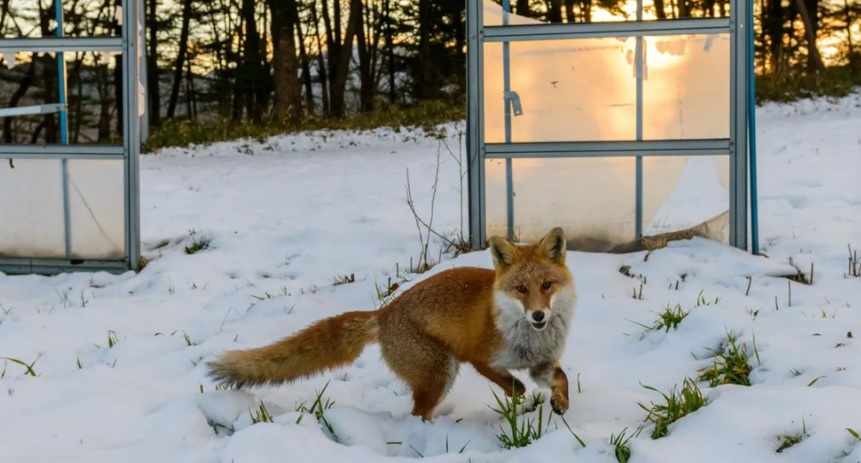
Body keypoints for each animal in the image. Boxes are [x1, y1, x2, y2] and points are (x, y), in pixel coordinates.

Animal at [205, 227, 576, 422]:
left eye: (547, 286)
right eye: (521, 289)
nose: (538, 316)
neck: (528, 339)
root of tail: (384, 313)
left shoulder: (542, 362)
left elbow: (562, 378)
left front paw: (561, 403)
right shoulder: (477, 356)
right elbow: (516, 386)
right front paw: (521, 404)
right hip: (440, 373)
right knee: (417, 413)